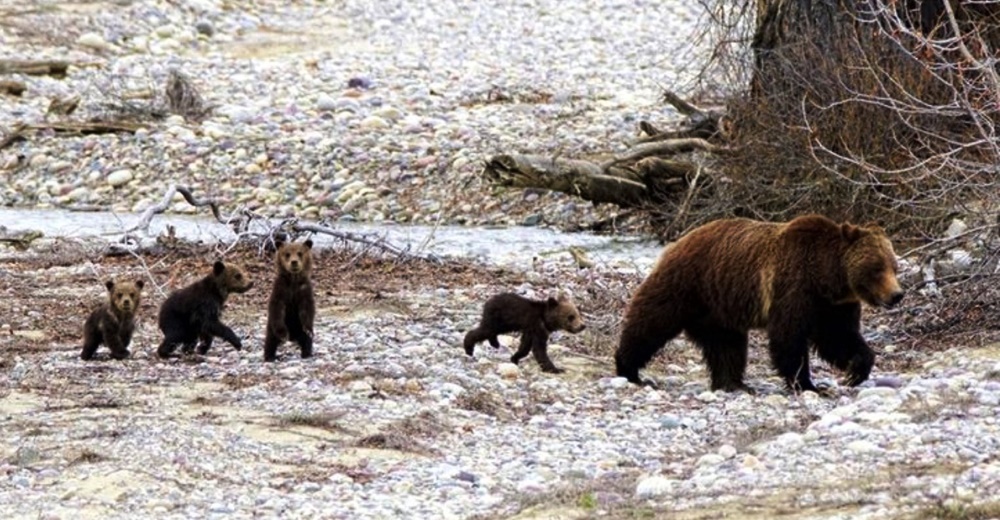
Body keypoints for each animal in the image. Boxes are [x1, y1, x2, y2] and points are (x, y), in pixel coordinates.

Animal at [616, 213, 908, 392]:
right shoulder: (795, 287)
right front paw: (807, 384)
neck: (827, 277)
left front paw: (856, 370)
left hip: (719, 308)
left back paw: (733, 383)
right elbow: (789, 337)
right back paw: (628, 368)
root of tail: (679, 240)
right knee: (651, 321)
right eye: (877, 268)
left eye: (894, 267)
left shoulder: (834, 305)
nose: (897, 294)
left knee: (727, 345)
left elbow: (838, 337)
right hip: (688, 284)